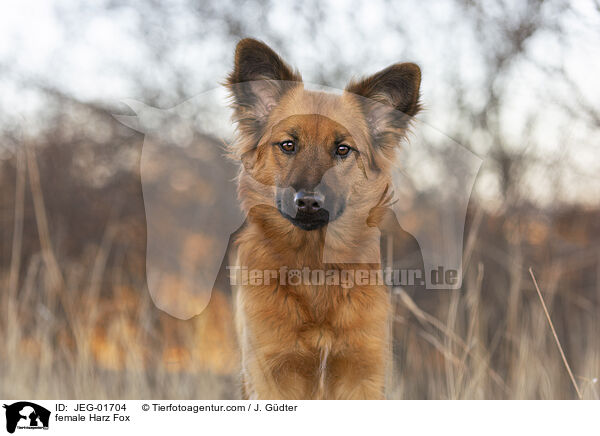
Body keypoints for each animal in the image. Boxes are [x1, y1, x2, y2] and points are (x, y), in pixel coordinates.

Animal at [225, 38, 422, 398]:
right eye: (288, 145)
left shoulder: (362, 370)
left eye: (343, 149)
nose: (308, 202)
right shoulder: (272, 371)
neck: (313, 265)